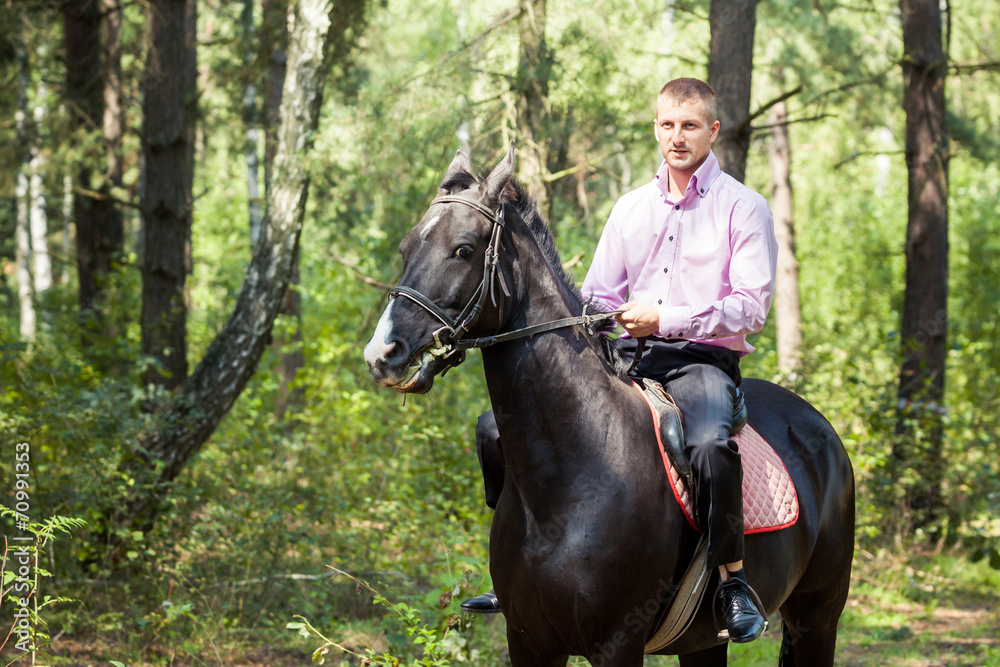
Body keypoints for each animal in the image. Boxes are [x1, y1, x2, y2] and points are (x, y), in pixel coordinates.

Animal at [364, 147, 856, 667]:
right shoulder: (527, 640)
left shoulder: (617, 643)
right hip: (707, 641)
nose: (383, 353)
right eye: (406, 248)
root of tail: (819, 428)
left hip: (818, 614)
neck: (576, 472)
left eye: (463, 249)